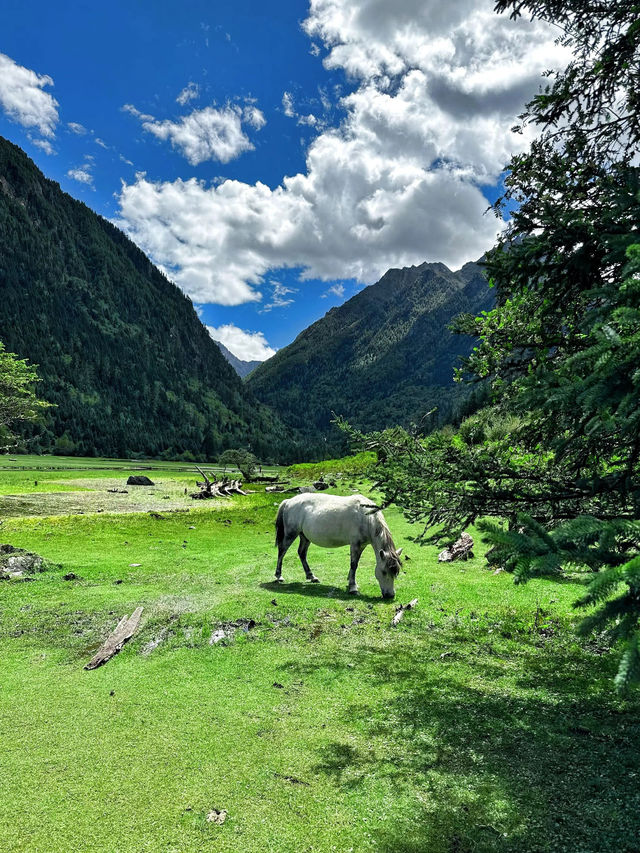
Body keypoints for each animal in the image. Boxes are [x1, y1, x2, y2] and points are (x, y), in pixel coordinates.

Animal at [272, 492, 402, 600]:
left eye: (396, 573)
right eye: (384, 572)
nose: (390, 595)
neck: (366, 517)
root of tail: (288, 501)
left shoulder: (362, 545)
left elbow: (355, 564)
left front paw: (350, 582)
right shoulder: (355, 544)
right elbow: (354, 564)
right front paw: (353, 587)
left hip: (304, 536)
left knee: (302, 553)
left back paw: (311, 576)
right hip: (291, 534)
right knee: (282, 551)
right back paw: (279, 576)